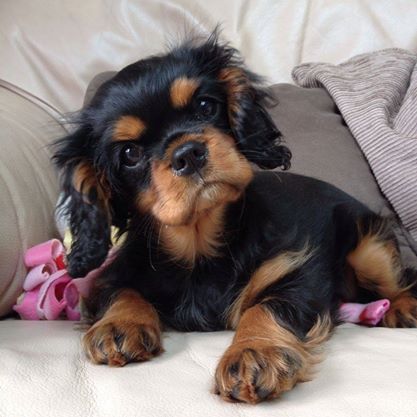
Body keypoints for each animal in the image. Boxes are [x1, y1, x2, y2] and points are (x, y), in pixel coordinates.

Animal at [53, 33, 417, 404]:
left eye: (205, 106)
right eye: (129, 154)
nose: (188, 153)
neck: (201, 248)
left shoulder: (300, 271)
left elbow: (268, 306)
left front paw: (254, 353)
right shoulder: (110, 275)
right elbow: (121, 291)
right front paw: (119, 325)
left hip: (369, 251)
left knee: (399, 281)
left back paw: (403, 308)